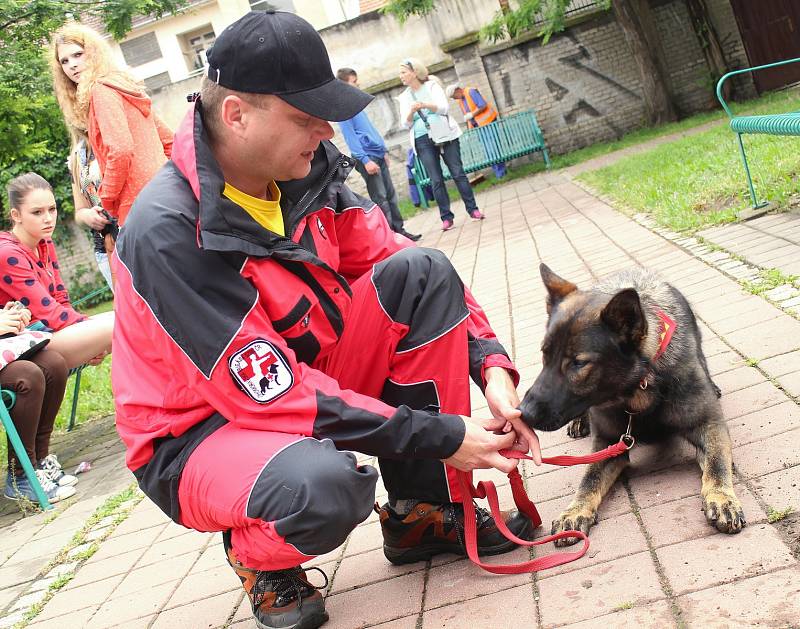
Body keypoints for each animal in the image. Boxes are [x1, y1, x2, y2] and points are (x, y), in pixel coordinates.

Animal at [520, 262, 744, 544]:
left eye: (579, 363)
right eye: (544, 355)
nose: (523, 413)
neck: (638, 393)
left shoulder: (710, 426)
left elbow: (716, 463)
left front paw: (722, 498)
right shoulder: (607, 444)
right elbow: (589, 478)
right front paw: (574, 510)